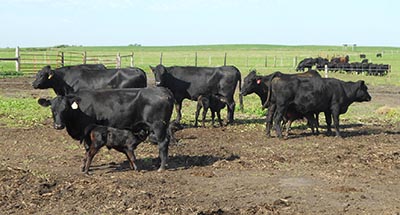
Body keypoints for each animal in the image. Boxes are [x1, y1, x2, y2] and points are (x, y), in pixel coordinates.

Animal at [38, 87, 174, 171]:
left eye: (65, 108)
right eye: (52, 109)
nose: (58, 126)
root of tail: (163, 90)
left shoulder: (87, 130)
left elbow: (87, 149)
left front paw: (84, 166)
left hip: (158, 125)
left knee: (163, 143)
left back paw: (161, 167)